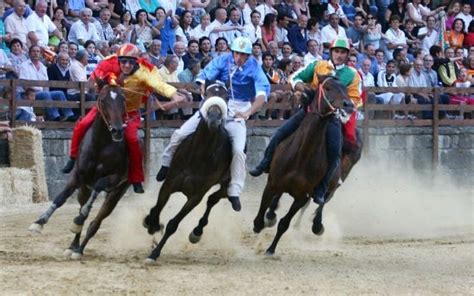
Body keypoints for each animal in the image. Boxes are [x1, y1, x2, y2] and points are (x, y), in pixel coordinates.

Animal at [29, 81, 130, 260]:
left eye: (123, 99)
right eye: (103, 100)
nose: (117, 130)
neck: (101, 144)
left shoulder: (115, 178)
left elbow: (98, 188)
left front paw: (79, 219)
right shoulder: (77, 176)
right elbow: (60, 198)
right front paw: (39, 222)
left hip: (116, 193)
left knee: (95, 222)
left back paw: (79, 248)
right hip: (84, 189)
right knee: (83, 209)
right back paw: (73, 245)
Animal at [144, 81, 233, 264]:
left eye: (227, 97)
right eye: (207, 94)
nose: (214, 119)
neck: (199, 154)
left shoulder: (196, 195)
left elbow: (173, 224)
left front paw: (154, 253)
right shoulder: (169, 183)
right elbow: (157, 209)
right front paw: (151, 223)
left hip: (227, 183)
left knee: (214, 199)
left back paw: (197, 232)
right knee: (212, 199)